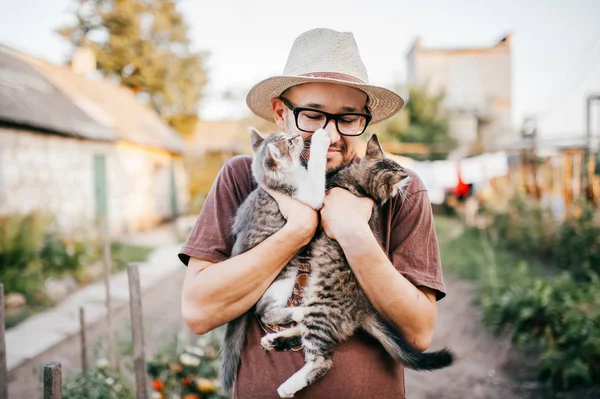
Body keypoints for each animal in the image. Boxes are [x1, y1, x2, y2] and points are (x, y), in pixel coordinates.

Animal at [221, 127, 330, 394]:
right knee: (265, 312)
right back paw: (299, 311)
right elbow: (316, 172)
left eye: (288, 136)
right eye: (289, 143)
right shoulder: (306, 198)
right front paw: (321, 140)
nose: (298, 136)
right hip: (282, 279)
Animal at [260, 136, 452, 398]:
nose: (406, 181)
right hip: (313, 306)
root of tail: (362, 309)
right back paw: (275, 340)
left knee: (322, 360)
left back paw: (288, 386)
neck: (357, 185)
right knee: (303, 330)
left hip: (321, 310)